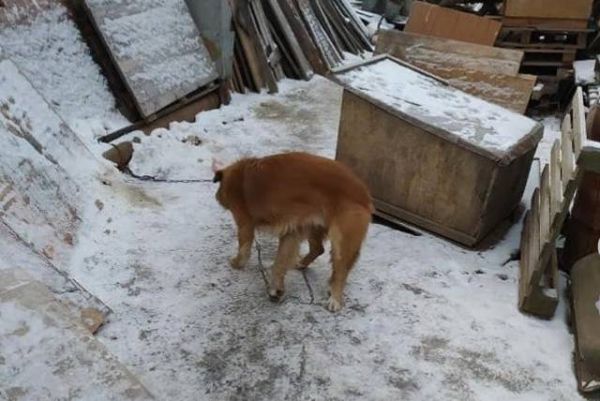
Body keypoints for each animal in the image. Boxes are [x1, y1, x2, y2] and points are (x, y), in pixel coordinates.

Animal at [213, 152, 372, 310]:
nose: (217, 198)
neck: (237, 175)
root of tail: (364, 194)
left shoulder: (245, 223)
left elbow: (244, 248)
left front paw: (237, 263)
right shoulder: (292, 231)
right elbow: (280, 262)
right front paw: (276, 289)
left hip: (341, 240)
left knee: (341, 269)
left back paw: (335, 297)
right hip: (314, 227)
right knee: (318, 249)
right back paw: (304, 265)